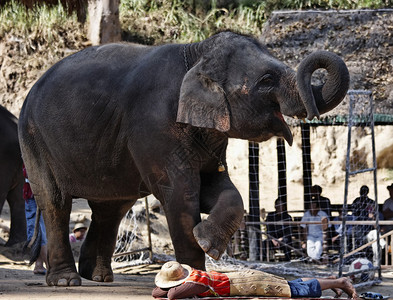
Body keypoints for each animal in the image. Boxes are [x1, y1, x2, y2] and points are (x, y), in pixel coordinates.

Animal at [18, 31, 350, 286]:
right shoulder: (155, 126)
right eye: (267, 79)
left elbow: (219, 189)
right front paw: (196, 275)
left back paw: (98, 277)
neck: (196, 52)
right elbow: (181, 194)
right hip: (34, 139)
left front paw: (205, 241)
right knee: (55, 201)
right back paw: (66, 281)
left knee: (111, 207)